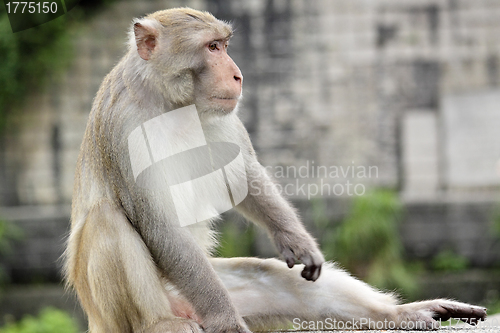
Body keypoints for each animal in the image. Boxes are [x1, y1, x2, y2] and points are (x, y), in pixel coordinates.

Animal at [63, 7, 488, 332]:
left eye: (225, 45)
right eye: (212, 47)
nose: (238, 74)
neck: (172, 102)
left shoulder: (222, 116)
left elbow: (242, 176)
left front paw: (297, 240)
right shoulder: (124, 127)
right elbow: (157, 222)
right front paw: (226, 321)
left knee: (275, 279)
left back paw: (400, 314)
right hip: (123, 310)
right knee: (108, 220)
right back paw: (161, 324)